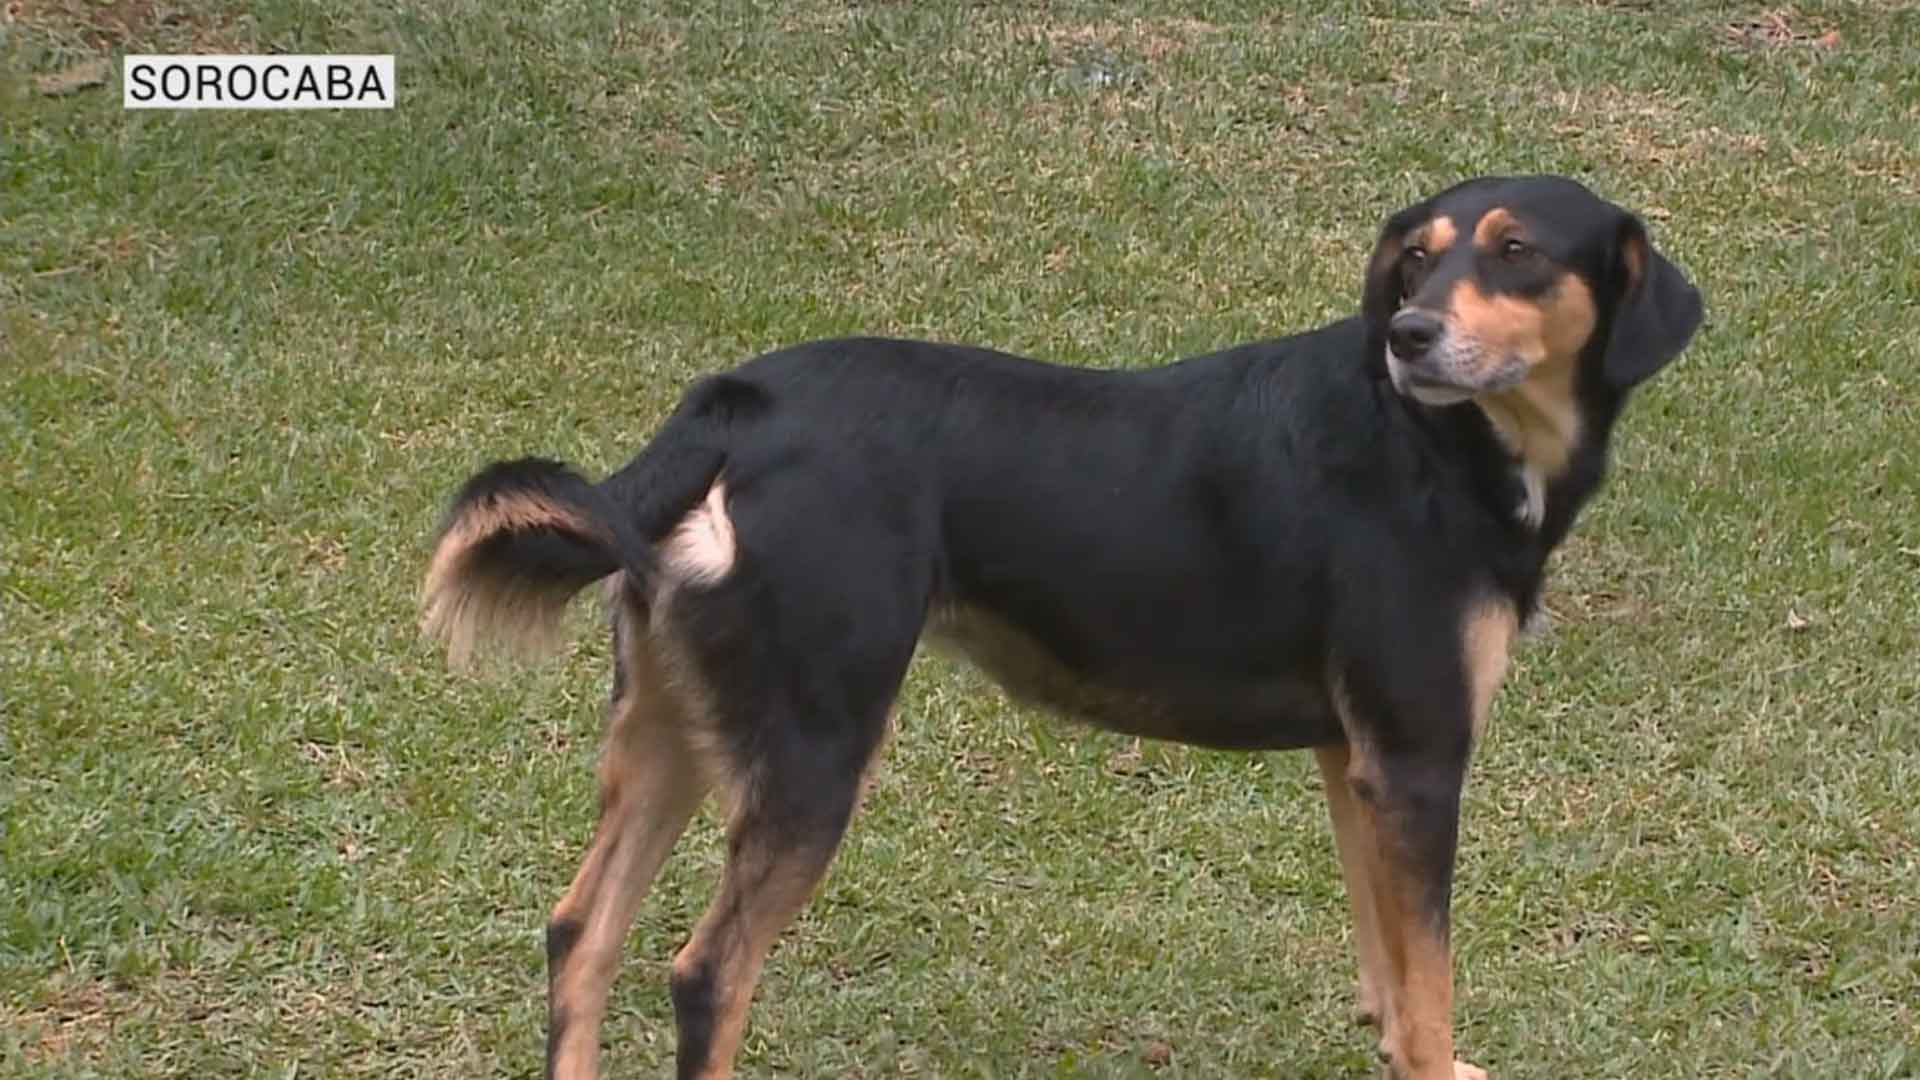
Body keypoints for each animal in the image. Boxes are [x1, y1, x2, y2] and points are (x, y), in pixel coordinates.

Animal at [420, 176, 1697, 1076]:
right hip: (813, 748)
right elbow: (1427, 988)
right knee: (704, 976)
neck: (1434, 444)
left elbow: (1389, 967)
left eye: (1518, 252)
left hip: (677, 733)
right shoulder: (1421, 759)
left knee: (579, 936)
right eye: (1420, 262)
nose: (1411, 337)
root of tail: (735, 407)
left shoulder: (1358, 760)